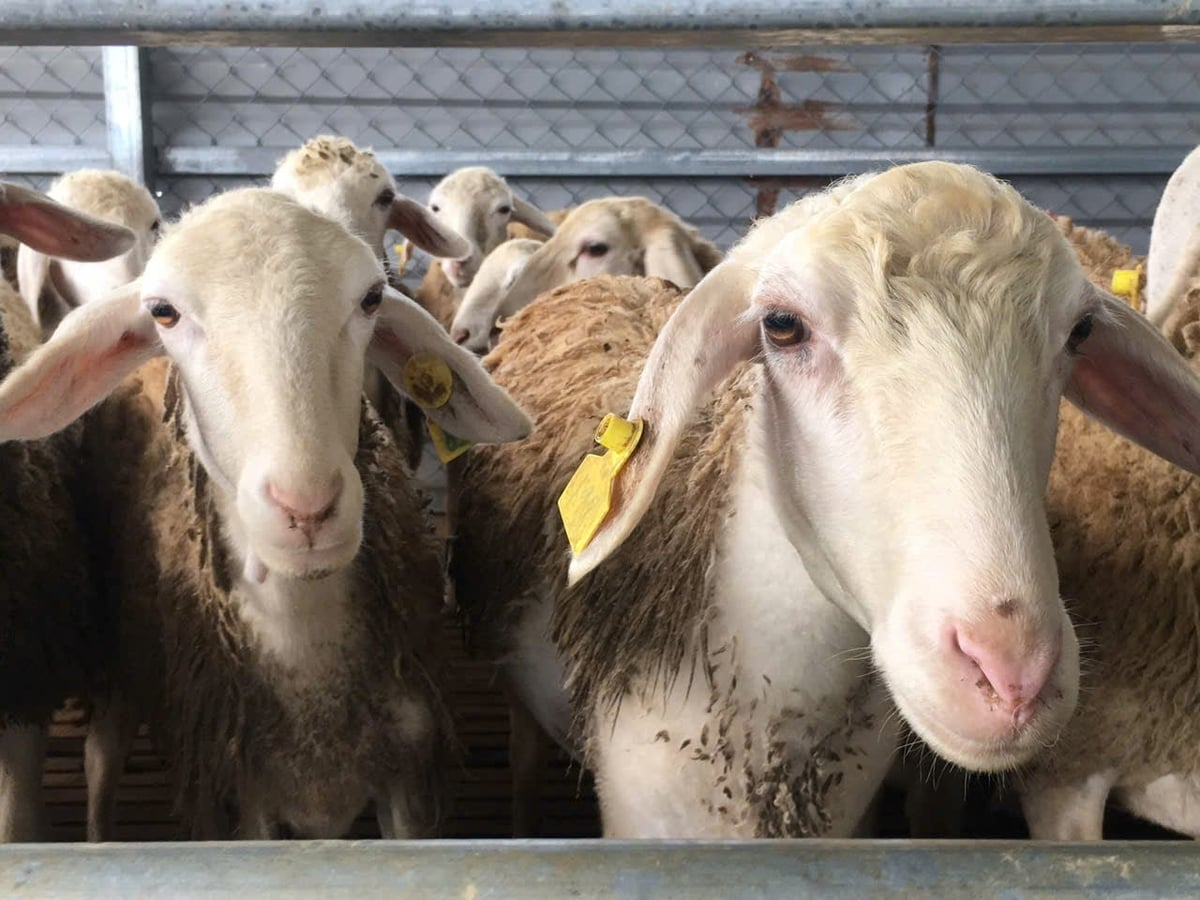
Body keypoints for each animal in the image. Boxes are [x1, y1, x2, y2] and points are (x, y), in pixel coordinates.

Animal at [0, 187, 531, 840]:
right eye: (164, 313)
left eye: (371, 298)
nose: (308, 507)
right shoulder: (236, 798)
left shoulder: (410, 782)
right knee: (103, 751)